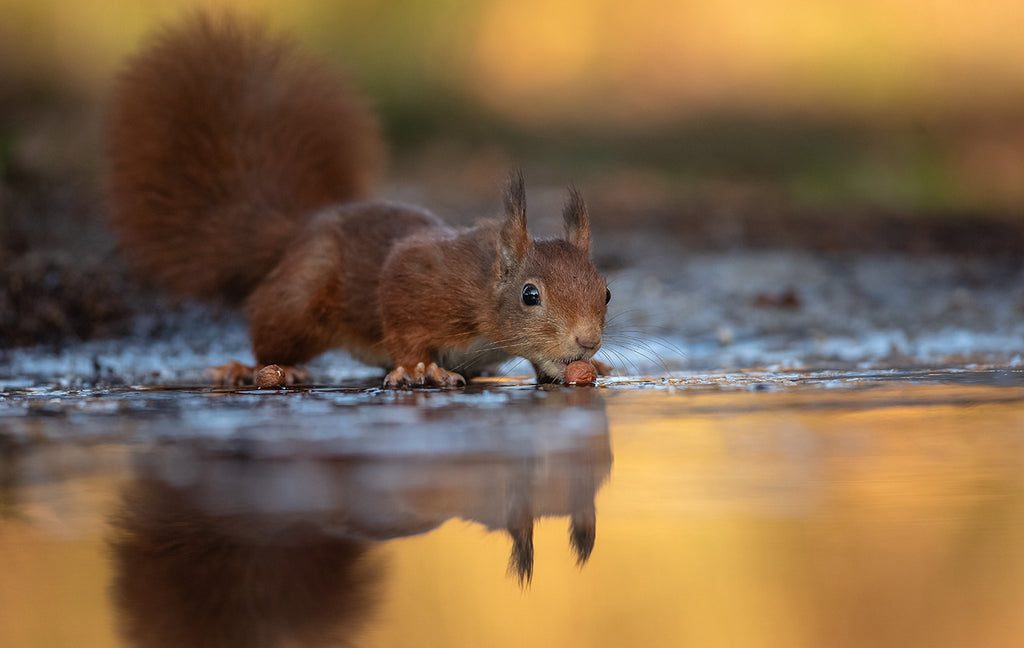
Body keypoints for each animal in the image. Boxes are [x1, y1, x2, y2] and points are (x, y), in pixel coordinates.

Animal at [105, 12, 606, 386]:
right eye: (529, 295)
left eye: (606, 291)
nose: (588, 341)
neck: (483, 289)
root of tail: (298, 229)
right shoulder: (417, 278)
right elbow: (403, 325)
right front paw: (420, 368)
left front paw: (590, 366)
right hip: (298, 299)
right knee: (271, 335)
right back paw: (256, 368)